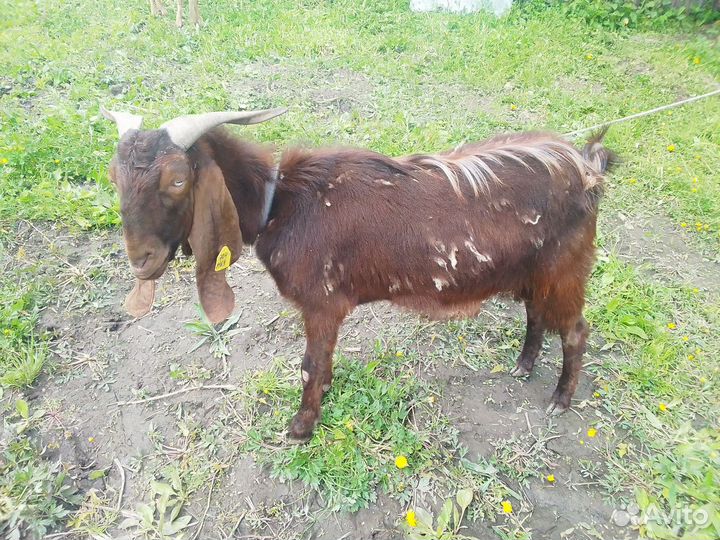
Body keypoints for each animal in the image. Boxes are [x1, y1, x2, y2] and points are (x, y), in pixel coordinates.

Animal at [102, 107, 615, 442]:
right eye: (113, 176)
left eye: (178, 179)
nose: (141, 260)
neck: (281, 202)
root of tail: (586, 164)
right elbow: (320, 362)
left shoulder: (322, 302)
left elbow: (310, 365)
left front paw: (301, 427)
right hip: (533, 271)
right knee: (535, 313)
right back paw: (523, 365)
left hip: (565, 269)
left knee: (575, 330)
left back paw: (560, 399)